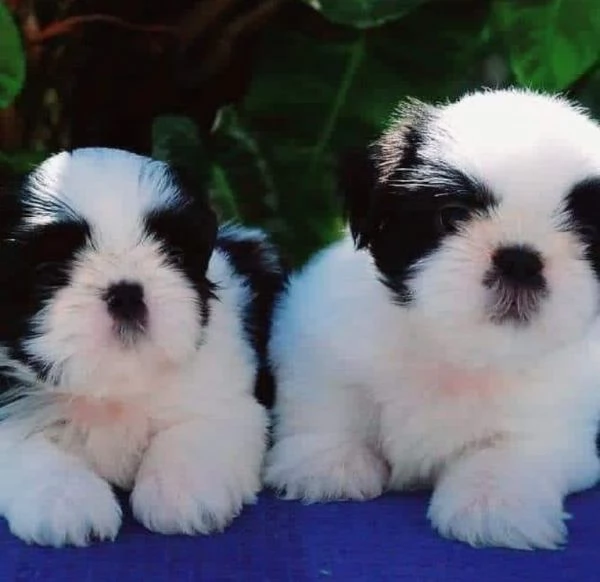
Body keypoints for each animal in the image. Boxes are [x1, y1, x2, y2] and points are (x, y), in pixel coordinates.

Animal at [0, 146, 284, 548]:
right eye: (49, 272)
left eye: (176, 256)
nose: (126, 293)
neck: (115, 392)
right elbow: (30, 450)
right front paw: (66, 501)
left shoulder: (225, 398)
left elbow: (193, 432)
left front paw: (183, 491)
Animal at [266, 90, 600, 552]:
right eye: (453, 216)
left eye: (589, 236)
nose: (519, 259)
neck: (457, 351)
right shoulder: (320, 337)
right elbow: (329, 403)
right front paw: (329, 461)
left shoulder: (557, 420)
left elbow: (511, 450)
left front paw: (493, 502)